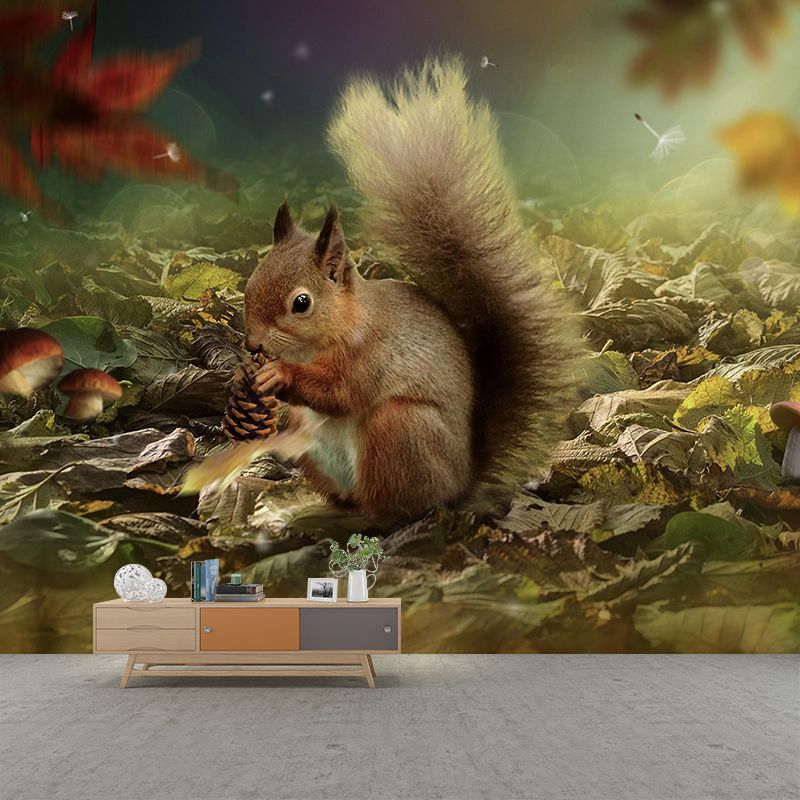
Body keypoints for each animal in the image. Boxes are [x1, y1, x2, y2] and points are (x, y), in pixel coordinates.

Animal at [244, 57, 578, 521]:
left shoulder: (370, 356)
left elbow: (340, 393)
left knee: (392, 508)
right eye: (251, 280)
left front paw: (279, 375)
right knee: (344, 494)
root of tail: (461, 482)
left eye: (301, 303)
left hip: (400, 427)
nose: (253, 344)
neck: (342, 324)